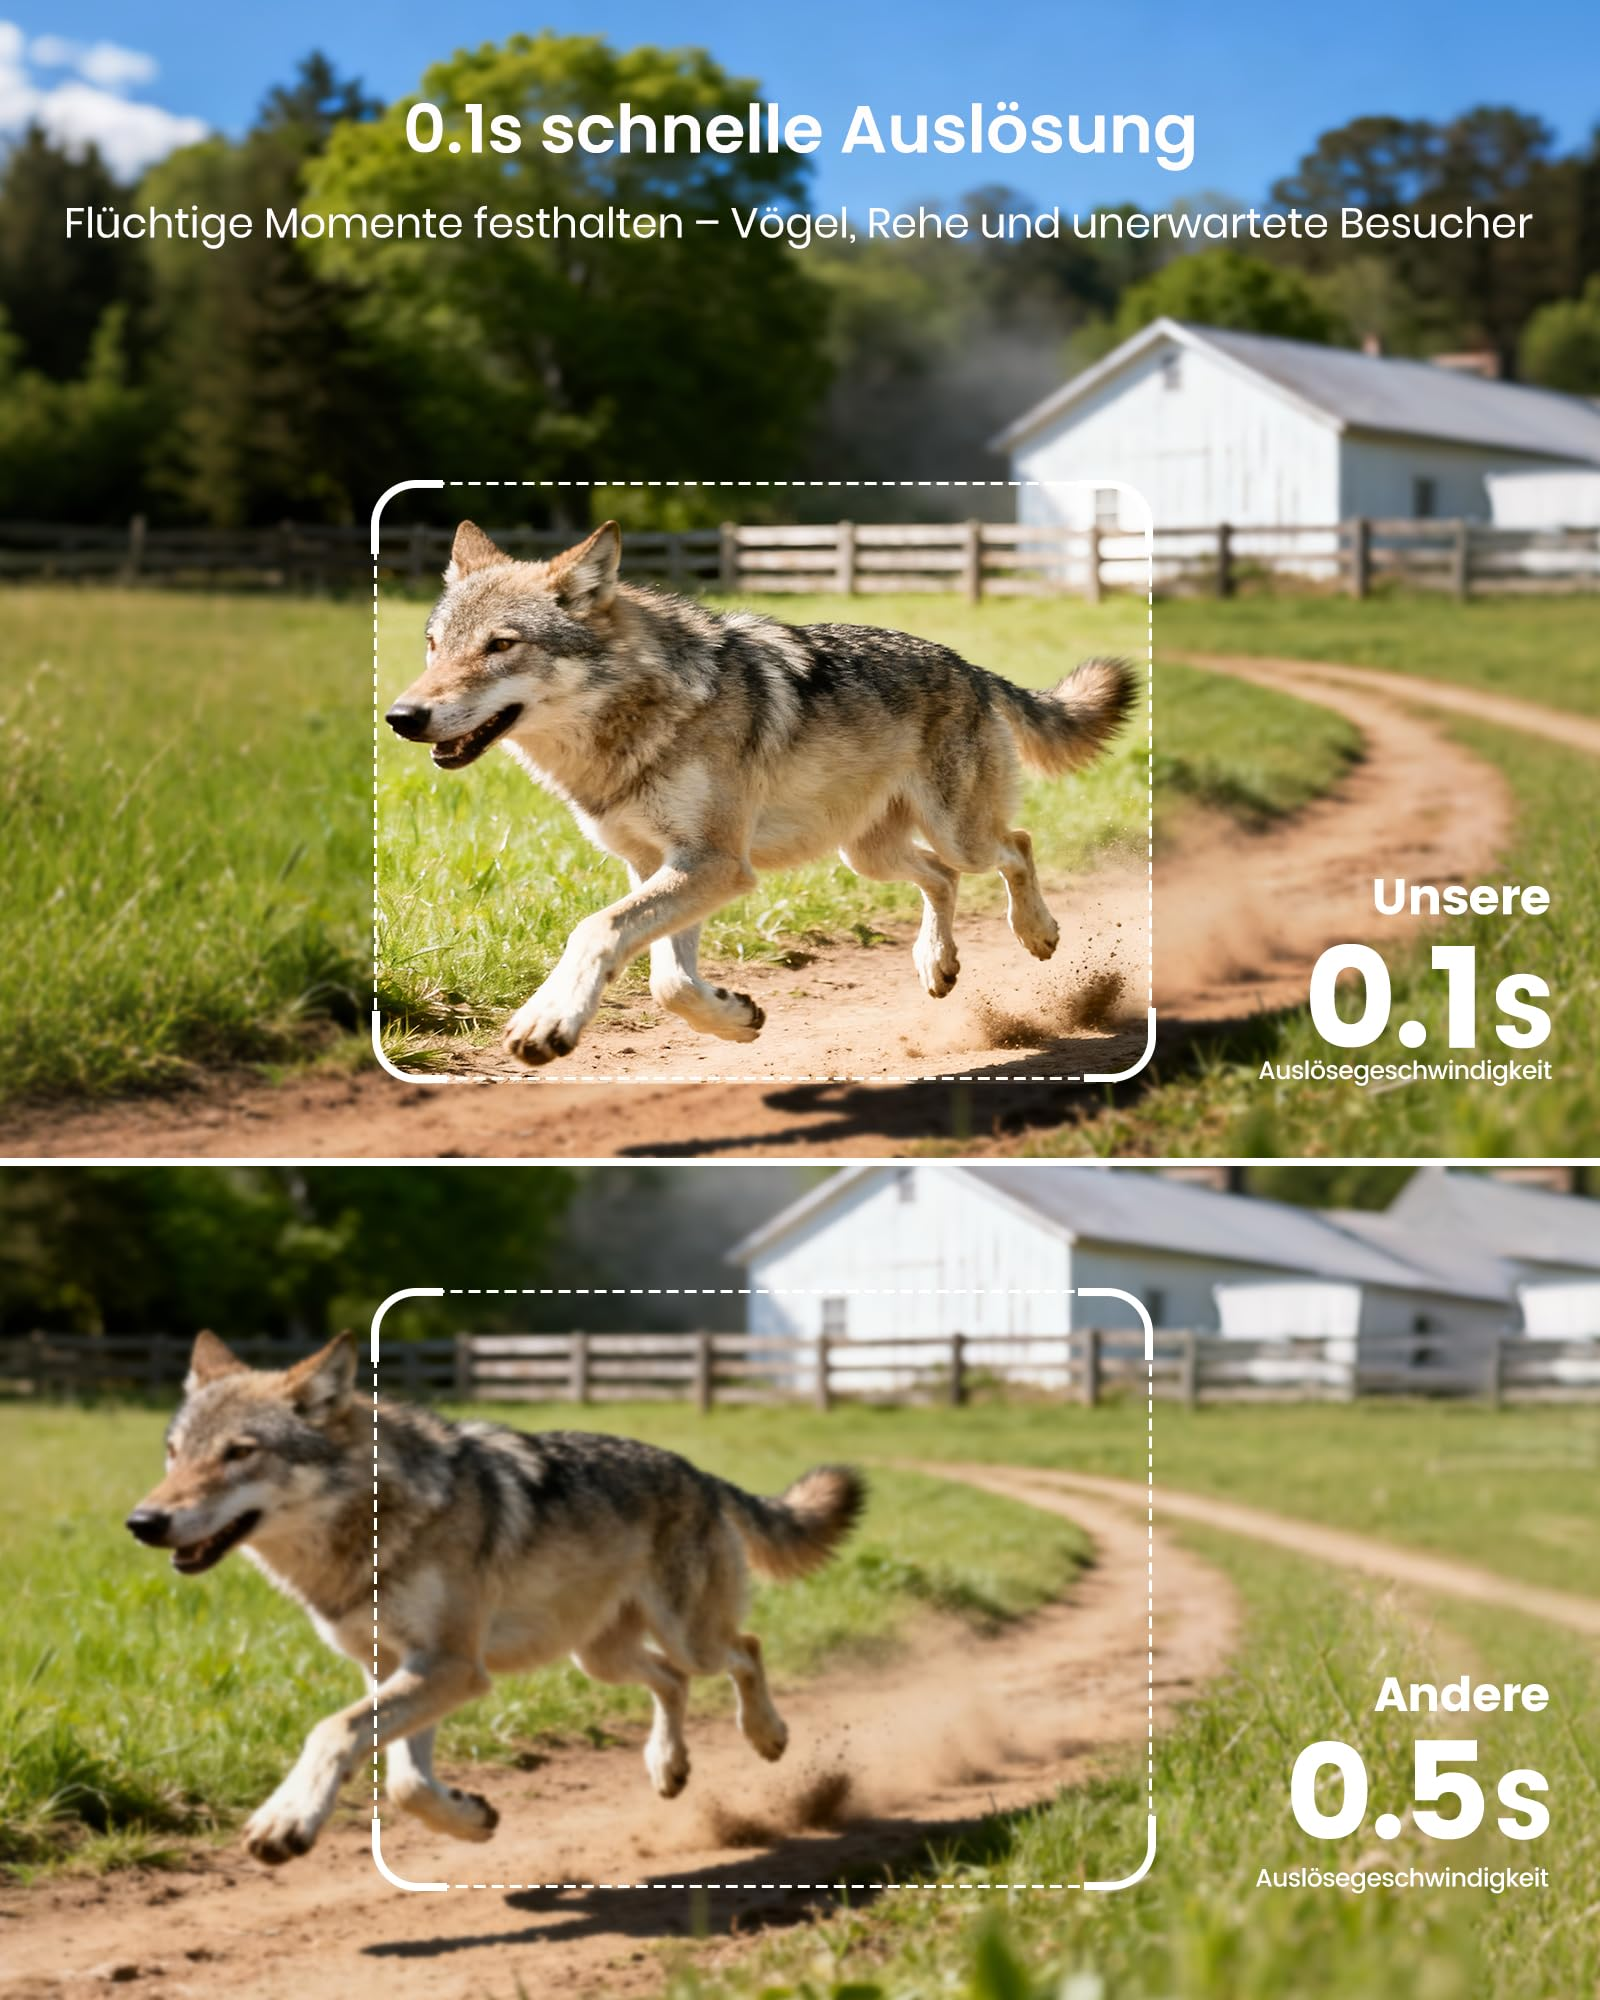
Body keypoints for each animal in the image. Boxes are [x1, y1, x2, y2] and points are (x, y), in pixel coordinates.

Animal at [125, 1330, 865, 1866]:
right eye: (173, 1452)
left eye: (239, 1452)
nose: (142, 1521)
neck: (372, 1525)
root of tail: (700, 1473)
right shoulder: (394, 1667)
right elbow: (404, 1781)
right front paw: (471, 1819)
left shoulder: (452, 1666)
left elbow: (332, 1731)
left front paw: (286, 1821)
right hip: (598, 1658)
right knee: (673, 1681)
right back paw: (667, 1765)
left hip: (686, 1636)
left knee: (745, 1649)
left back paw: (765, 1734)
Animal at [385, 521, 1137, 1066]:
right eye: (433, 644)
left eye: (500, 645)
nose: (401, 716)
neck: (637, 719)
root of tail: (970, 666)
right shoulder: (658, 866)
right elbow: (668, 981)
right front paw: (736, 1019)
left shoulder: (715, 863)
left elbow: (597, 929)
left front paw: (547, 1021)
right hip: (866, 856)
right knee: (943, 878)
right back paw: (936, 962)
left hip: (957, 833)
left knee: (1016, 845)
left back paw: (1036, 932)